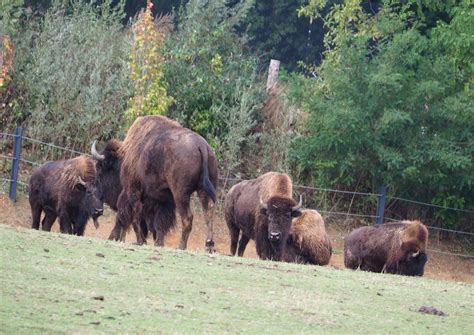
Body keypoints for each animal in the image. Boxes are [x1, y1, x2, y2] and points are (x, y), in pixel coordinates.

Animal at [92, 117, 218, 251]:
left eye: (101, 168)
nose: (96, 191)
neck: (125, 156)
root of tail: (202, 146)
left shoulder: (133, 191)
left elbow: (134, 218)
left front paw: (139, 241)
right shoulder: (162, 200)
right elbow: (158, 223)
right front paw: (158, 243)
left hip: (181, 194)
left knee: (188, 218)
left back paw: (181, 246)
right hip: (203, 190)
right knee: (208, 213)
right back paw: (209, 245)